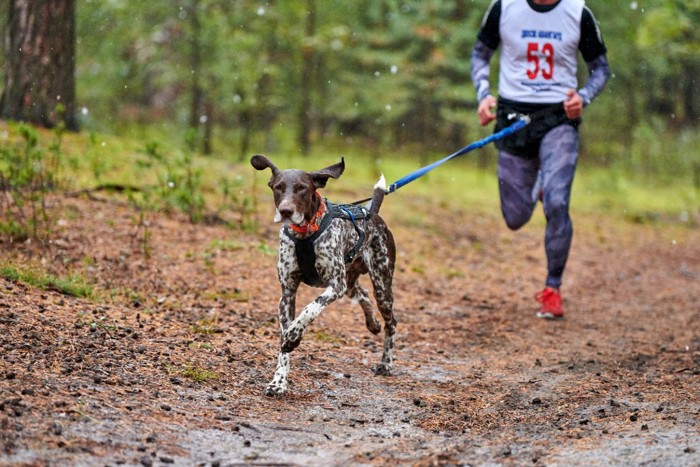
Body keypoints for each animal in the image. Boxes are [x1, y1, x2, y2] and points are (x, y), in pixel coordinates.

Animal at [249, 155, 396, 396]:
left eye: (302, 188)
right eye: (278, 187)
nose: (286, 211)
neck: (305, 234)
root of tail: (372, 213)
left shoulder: (335, 285)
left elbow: (310, 308)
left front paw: (294, 334)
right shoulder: (287, 293)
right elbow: (283, 346)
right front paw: (278, 382)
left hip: (381, 286)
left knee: (391, 323)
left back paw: (386, 363)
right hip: (351, 283)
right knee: (363, 294)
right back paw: (372, 323)